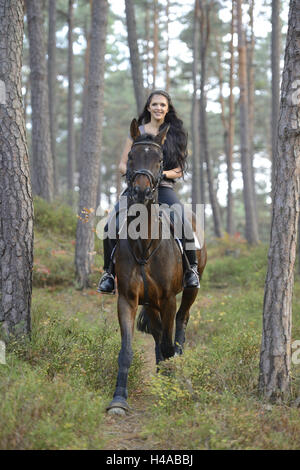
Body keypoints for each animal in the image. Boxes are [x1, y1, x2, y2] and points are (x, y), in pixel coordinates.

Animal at [106, 118, 207, 414]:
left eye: (160, 159)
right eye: (131, 156)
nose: (140, 191)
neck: (145, 245)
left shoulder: (169, 299)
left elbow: (168, 342)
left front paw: (173, 389)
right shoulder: (128, 299)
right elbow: (127, 349)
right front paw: (119, 399)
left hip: (189, 291)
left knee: (181, 323)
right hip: (150, 302)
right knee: (157, 332)